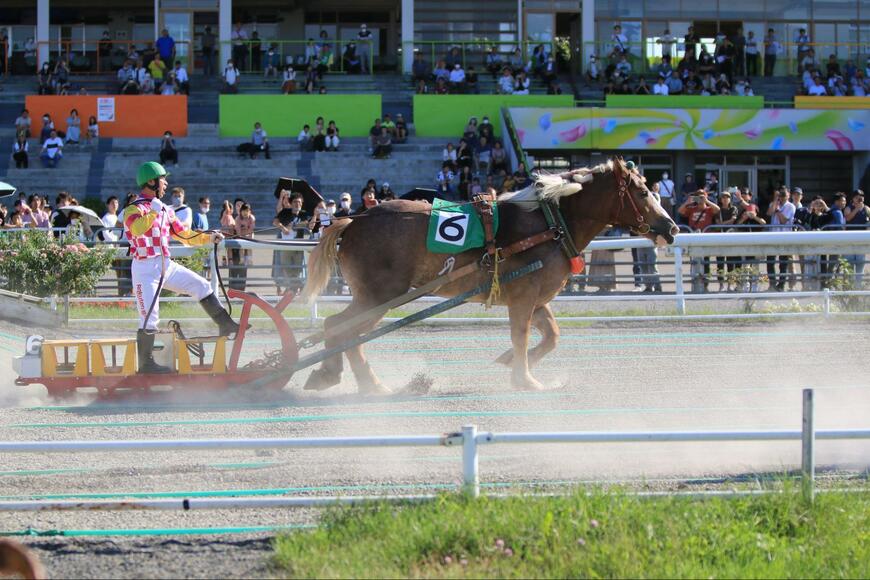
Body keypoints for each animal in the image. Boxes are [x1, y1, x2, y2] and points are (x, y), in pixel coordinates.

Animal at [300, 157, 679, 393]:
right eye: (642, 192)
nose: (671, 227)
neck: (548, 222)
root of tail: (353, 222)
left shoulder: (534, 297)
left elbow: (551, 336)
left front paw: (513, 363)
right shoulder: (524, 297)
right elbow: (521, 336)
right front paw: (525, 378)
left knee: (343, 332)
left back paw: (349, 378)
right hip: (380, 295)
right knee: (341, 329)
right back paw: (356, 380)